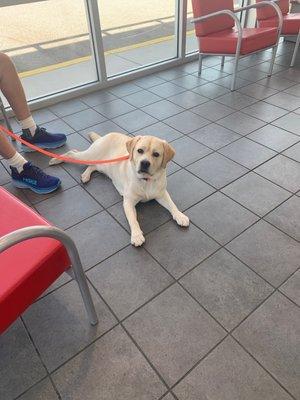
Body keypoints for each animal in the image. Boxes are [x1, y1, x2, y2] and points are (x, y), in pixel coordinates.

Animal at [50, 133, 189, 245]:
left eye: (156, 154)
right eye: (140, 150)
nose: (144, 163)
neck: (146, 181)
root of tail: (106, 135)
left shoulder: (162, 194)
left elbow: (172, 205)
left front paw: (180, 216)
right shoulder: (128, 202)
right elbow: (133, 220)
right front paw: (137, 235)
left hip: (102, 165)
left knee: (92, 165)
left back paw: (85, 175)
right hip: (88, 155)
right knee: (72, 152)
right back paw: (55, 159)